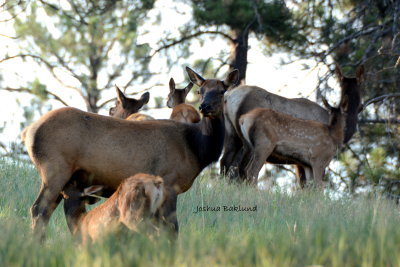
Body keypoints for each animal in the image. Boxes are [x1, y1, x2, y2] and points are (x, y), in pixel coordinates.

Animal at [22, 67, 238, 241]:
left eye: (222, 91)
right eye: (201, 91)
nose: (204, 107)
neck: (197, 147)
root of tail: (29, 132)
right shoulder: (170, 182)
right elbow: (172, 229)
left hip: (64, 178)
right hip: (54, 169)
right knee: (39, 210)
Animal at [220, 65, 364, 186]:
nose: (361, 107)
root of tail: (229, 96)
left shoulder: (301, 161)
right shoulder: (314, 159)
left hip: (231, 132)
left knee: (225, 161)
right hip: (252, 144)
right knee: (244, 169)